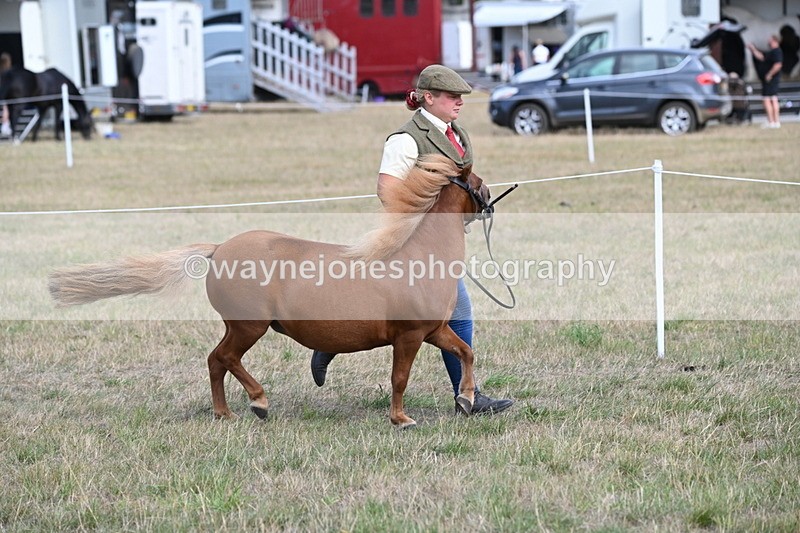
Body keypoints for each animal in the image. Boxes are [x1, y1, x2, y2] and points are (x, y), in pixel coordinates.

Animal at [48, 155, 493, 429]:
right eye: (477, 182)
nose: (489, 202)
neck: (416, 255)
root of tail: (218, 249)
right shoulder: (409, 336)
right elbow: (400, 378)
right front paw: (401, 419)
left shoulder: (434, 331)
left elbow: (466, 352)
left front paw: (468, 399)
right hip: (250, 327)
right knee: (225, 358)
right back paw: (259, 403)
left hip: (237, 326)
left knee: (214, 361)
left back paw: (225, 414)